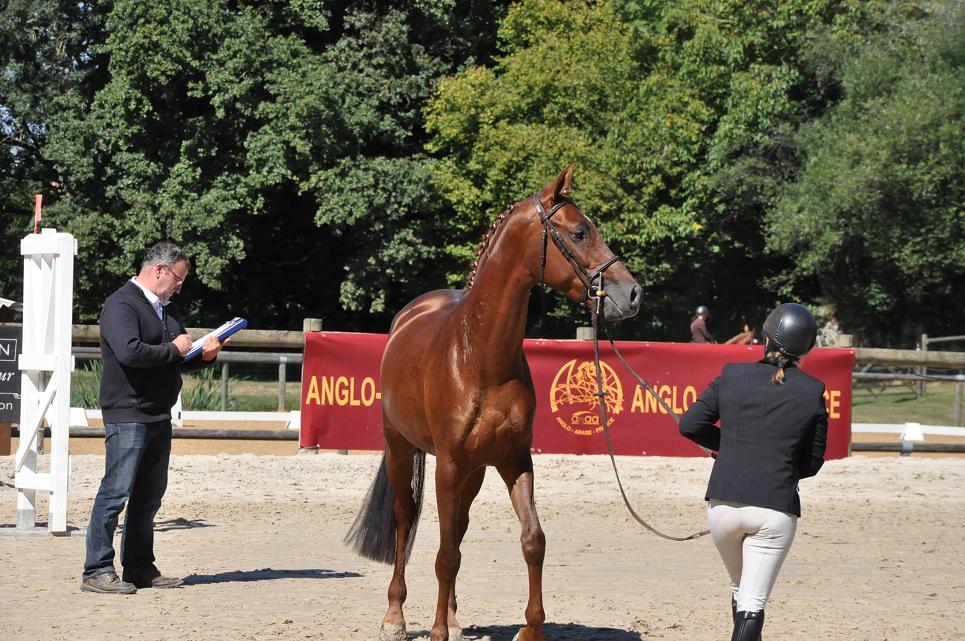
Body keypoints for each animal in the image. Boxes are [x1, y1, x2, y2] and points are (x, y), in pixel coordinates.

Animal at [344, 166, 640, 640]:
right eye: (579, 232)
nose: (632, 293)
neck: (480, 356)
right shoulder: (448, 464)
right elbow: (444, 554)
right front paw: (437, 632)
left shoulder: (513, 459)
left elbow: (532, 540)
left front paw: (530, 629)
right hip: (402, 448)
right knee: (406, 518)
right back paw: (396, 616)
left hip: (475, 470)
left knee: (458, 529)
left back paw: (453, 616)